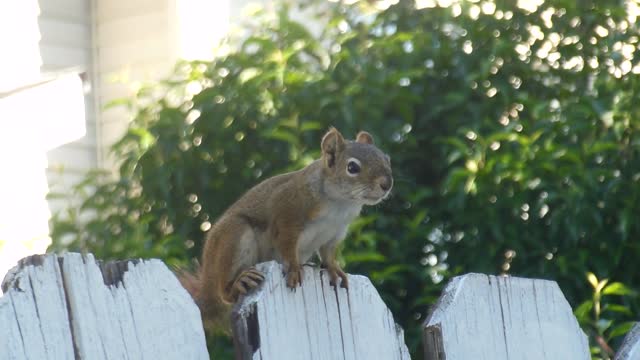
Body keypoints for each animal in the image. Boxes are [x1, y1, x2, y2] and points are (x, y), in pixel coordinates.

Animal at [178, 127, 392, 332]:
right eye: (352, 167)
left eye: (387, 159)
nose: (386, 184)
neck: (340, 204)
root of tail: (207, 285)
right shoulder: (288, 213)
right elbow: (287, 243)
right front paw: (294, 268)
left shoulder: (335, 233)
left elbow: (328, 254)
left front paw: (334, 268)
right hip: (234, 235)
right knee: (224, 291)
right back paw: (238, 283)